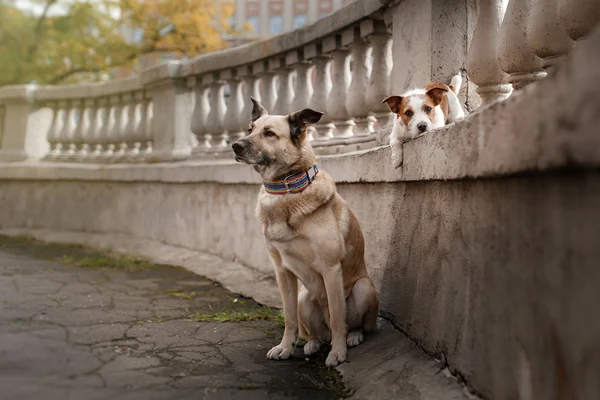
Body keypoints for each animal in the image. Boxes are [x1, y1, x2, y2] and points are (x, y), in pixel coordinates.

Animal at [232, 99, 378, 366]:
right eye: (250, 129)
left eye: (269, 133)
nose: (235, 145)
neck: (286, 189)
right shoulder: (283, 272)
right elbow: (289, 318)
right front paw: (285, 348)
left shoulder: (331, 269)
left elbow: (338, 318)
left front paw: (338, 353)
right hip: (303, 298)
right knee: (314, 332)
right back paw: (311, 343)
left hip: (364, 287)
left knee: (353, 325)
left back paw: (352, 337)